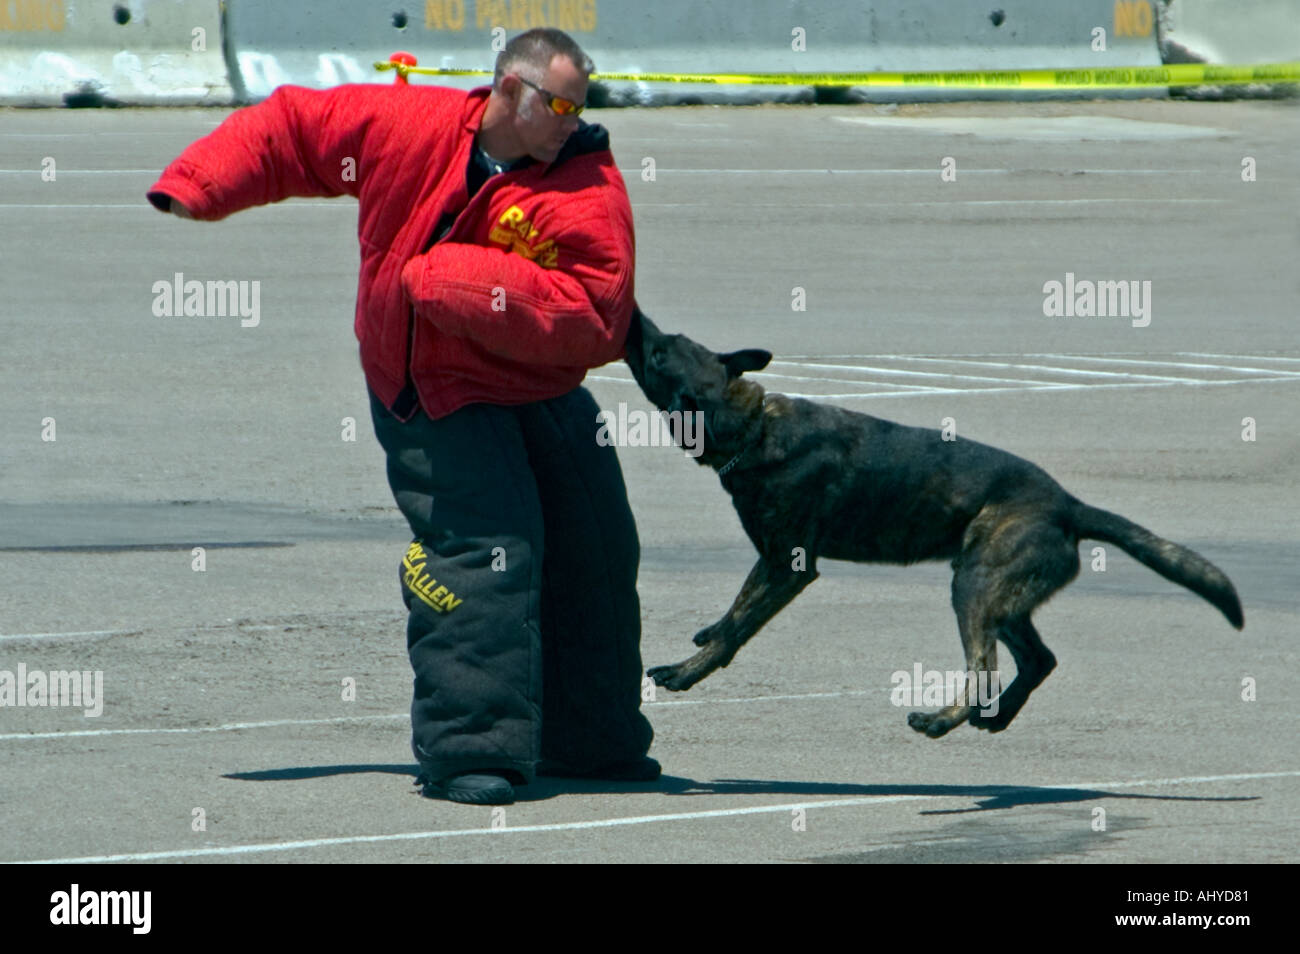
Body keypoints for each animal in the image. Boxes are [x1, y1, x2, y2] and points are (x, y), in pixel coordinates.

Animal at [624, 310, 1242, 738]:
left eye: (657, 354)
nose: (632, 316)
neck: (753, 426)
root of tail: (1069, 504)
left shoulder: (787, 565)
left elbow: (738, 626)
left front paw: (687, 671)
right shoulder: (771, 562)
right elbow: (730, 615)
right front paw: (703, 639)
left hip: (974, 587)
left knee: (985, 668)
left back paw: (943, 720)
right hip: (999, 596)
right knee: (1039, 659)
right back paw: (997, 715)